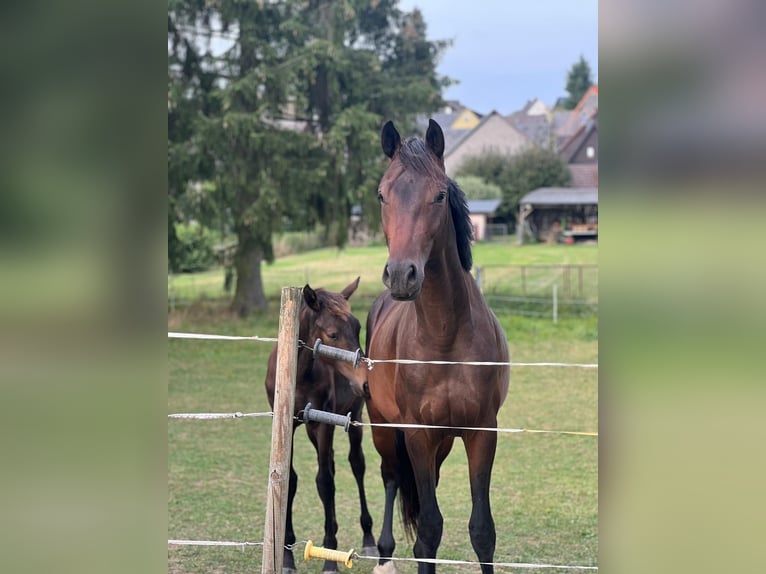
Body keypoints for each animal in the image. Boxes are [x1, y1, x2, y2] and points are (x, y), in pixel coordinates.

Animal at [266, 278, 380, 572]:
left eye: (358, 327)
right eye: (332, 334)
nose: (366, 383)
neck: (299, 374)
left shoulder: (324, 423)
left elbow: (325, 482)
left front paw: (330, 558)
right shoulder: (289, 424)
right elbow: (290, 480)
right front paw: (286, 557)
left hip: (354, 419)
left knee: (356, 465)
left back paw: (368, 538)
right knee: (331, 463)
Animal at [360, 120, 510, 572]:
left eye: (439, 195)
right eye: (382, 193)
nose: (402, 275)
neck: (444, 338)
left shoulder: (482, 432)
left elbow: (482, 530)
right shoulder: (417, 435)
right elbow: (428, 531)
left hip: (442, 444)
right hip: (384, 428)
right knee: (391, 477)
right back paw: (383, 551)